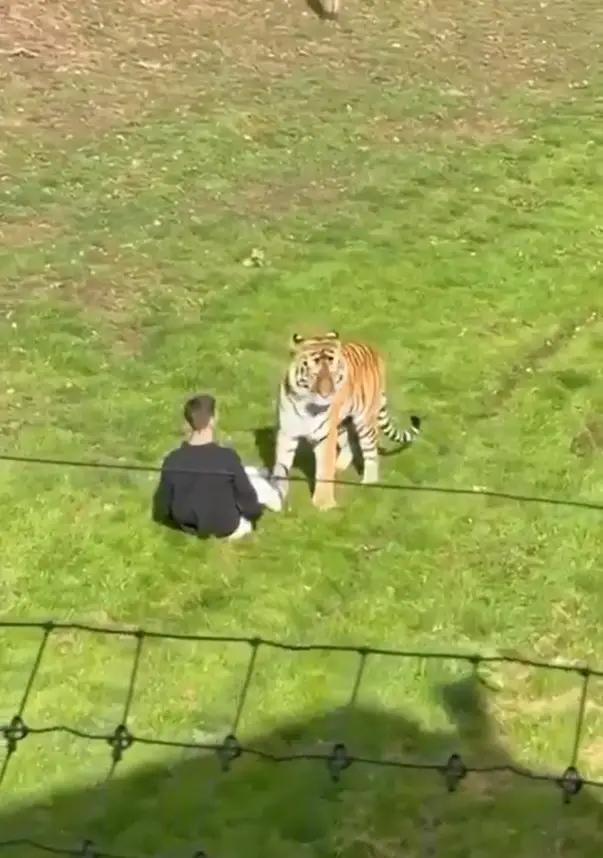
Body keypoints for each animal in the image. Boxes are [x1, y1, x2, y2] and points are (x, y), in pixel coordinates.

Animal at [270, 331, 421, 510]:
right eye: (314, 374)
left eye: (333, 373)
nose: (326, 394)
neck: (305, 404)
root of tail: (373, 351)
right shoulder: (287, 432)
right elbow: (281, 465)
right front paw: (276, 495)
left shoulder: (325, 435)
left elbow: (324, 469)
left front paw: (324, 503)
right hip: (342, 422)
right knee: (349, 442)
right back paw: (339, 466)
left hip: (364, 421)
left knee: (370, 451)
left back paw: (368, 483)